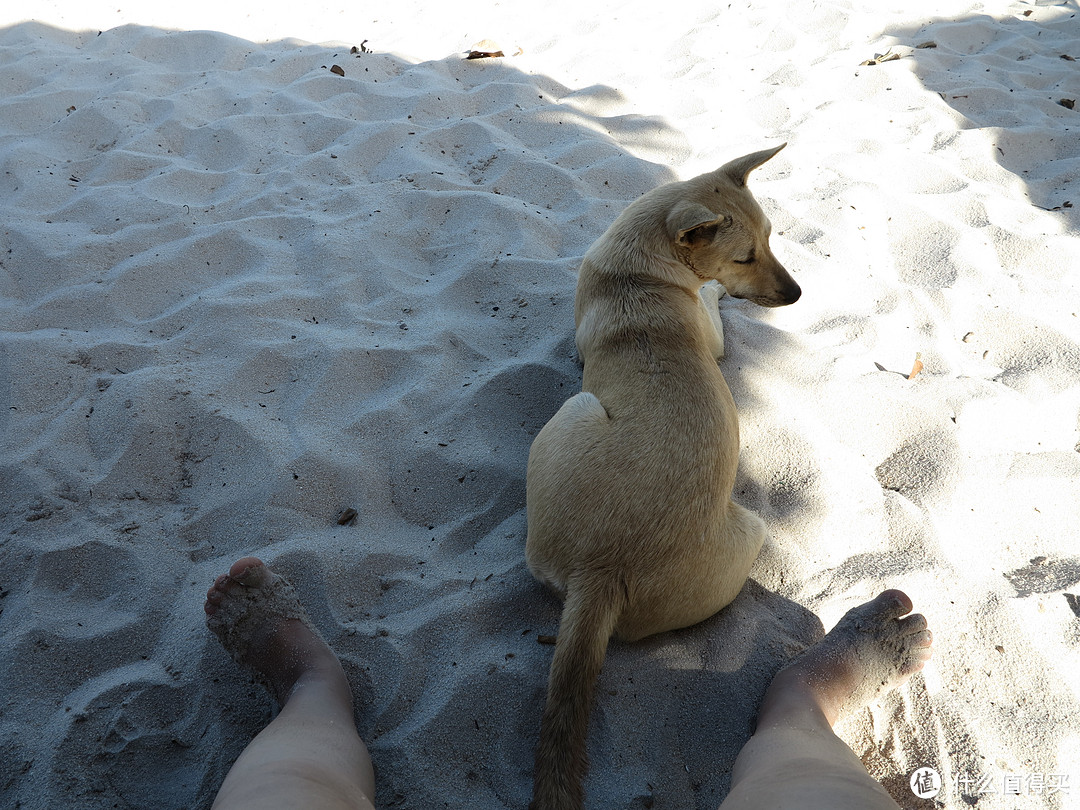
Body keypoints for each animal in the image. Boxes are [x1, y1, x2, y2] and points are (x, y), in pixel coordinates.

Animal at [522, 145, 803, 810]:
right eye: (744, 256)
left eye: (771, 239)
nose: (798, 293)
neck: (645, 267)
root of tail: (600, 571)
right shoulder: (715, 330)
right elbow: (714, 304)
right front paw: (716, 293)